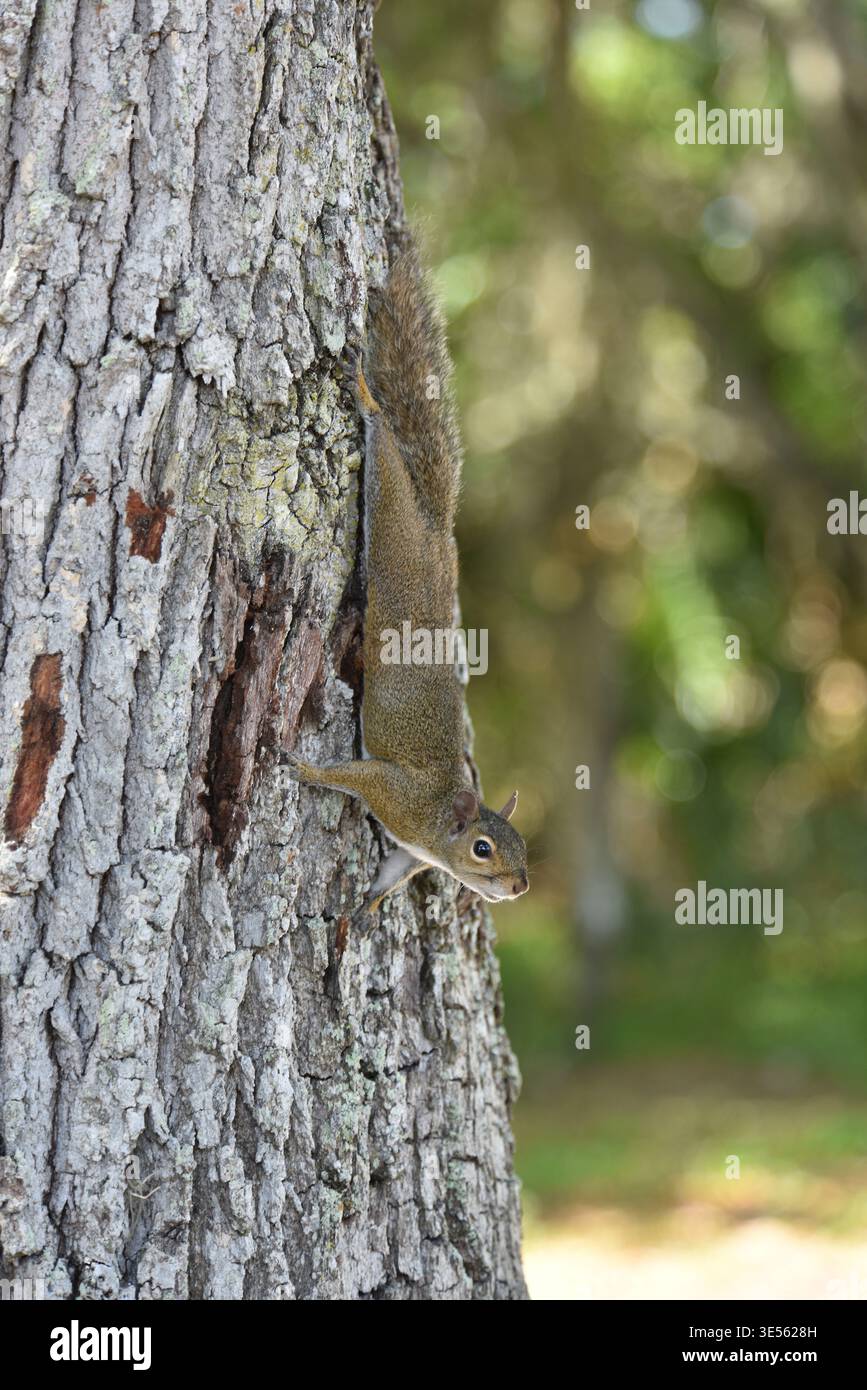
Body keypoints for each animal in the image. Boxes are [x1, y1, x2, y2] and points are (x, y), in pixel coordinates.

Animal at [282, 243, 529, 916]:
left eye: (523, 846)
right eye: (483, 849)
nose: (521, 885)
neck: (439, 825)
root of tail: (437, 533)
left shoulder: (413, 853)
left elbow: (393, 872)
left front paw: (368, 905)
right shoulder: (395, 795)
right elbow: (351, 777)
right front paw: (307, 771)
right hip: (394, 525)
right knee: (387, 451)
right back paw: (367, 397)